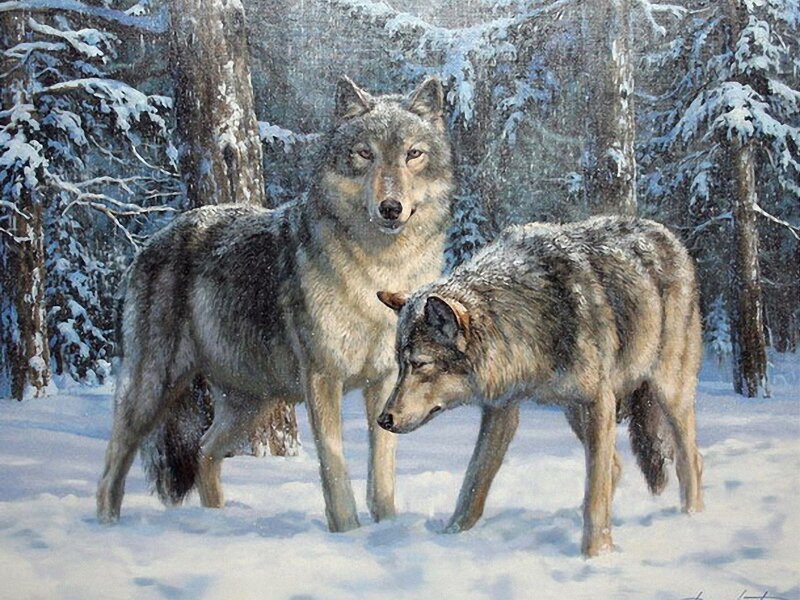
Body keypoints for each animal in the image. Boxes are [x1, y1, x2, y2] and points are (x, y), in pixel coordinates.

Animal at [96, 76, 453, 531]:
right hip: (153, 390)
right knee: (113, 462)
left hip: (251, 403)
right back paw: (105, 527)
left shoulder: (387, 379)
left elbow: (382, 470)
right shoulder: (323, 378)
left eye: (413, 154)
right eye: (364, 154)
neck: (379, 273)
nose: (390, 208)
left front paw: (387, 528)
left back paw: (217, 522)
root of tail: (150, 244)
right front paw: (347, 533)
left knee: (204, 449)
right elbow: (334, 467)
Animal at [376, 216, 704, 556]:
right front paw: (451, 536)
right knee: (615, 466)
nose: (383, 419)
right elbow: (473, 484)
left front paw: (596, 555)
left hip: (667, 393)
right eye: (400, 365)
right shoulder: (501, 410)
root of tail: (665, 234)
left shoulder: (598, 400)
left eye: (420, 364)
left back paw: (692, 519)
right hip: (575, 411)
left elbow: (595, 498)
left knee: (690, 460)